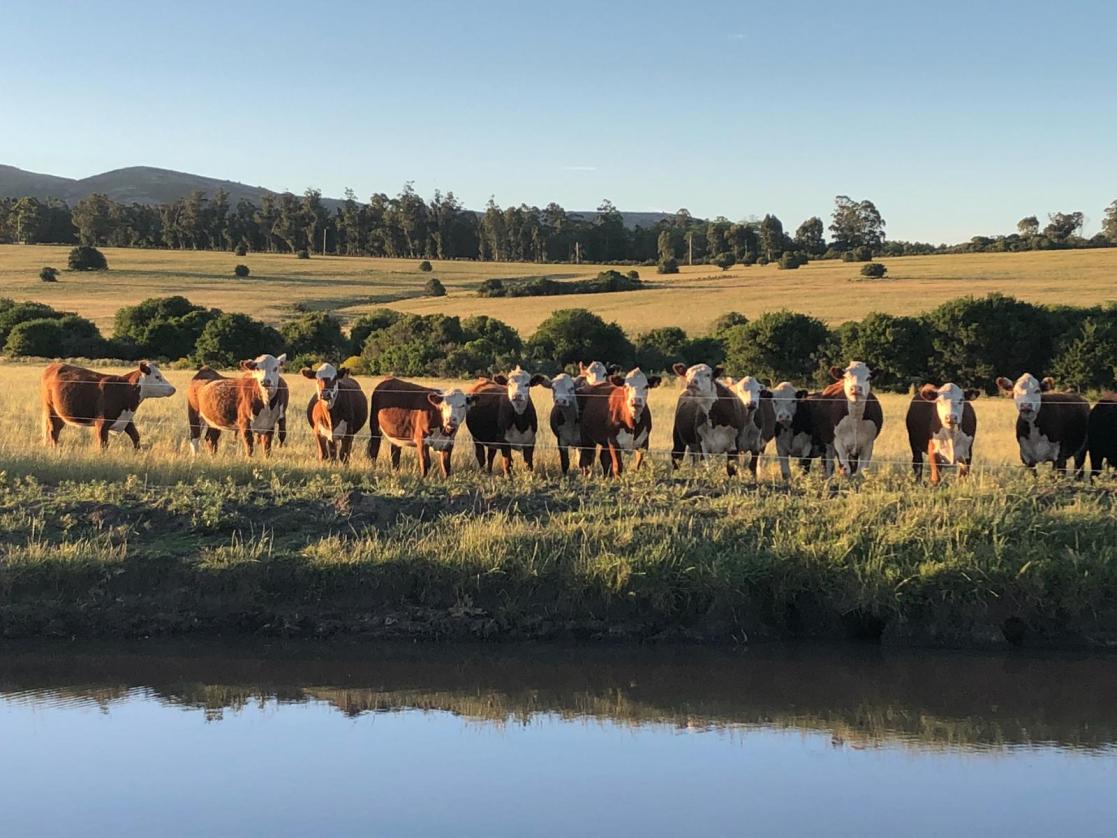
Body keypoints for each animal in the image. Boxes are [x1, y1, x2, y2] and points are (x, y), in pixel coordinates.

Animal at [40, 362, 174, 449]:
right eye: (157, 376)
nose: (173, 389)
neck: (124, 389)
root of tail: (53, 366)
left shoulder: (126, 419)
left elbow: (136, 437)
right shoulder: (102, 423)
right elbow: (103, 445)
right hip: (51, 410)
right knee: (53, 432)